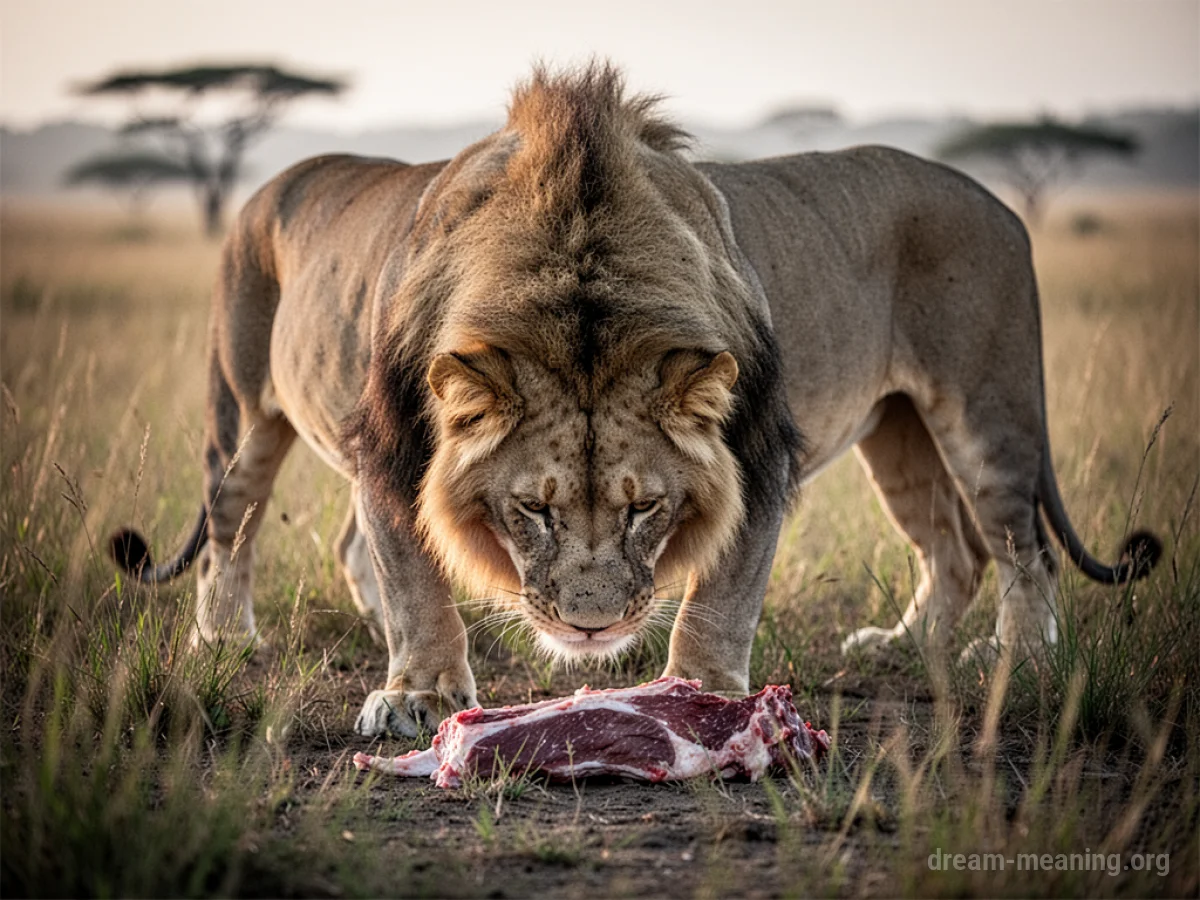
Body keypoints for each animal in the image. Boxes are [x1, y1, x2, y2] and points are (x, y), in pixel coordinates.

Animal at [110, 64, 1159, 738]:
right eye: (530, 510)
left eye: (646, 507)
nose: (588, 629)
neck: (580, 279)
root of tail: (1001, 202)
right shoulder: (392, 442)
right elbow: (411, 576)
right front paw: (419, 693)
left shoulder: (758, 449)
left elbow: (723, 594)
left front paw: (696, 696)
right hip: (241, 409)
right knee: (234, 521)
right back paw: (223, 638)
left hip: (982, 411)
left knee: (1013, 547)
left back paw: (1012, 659)